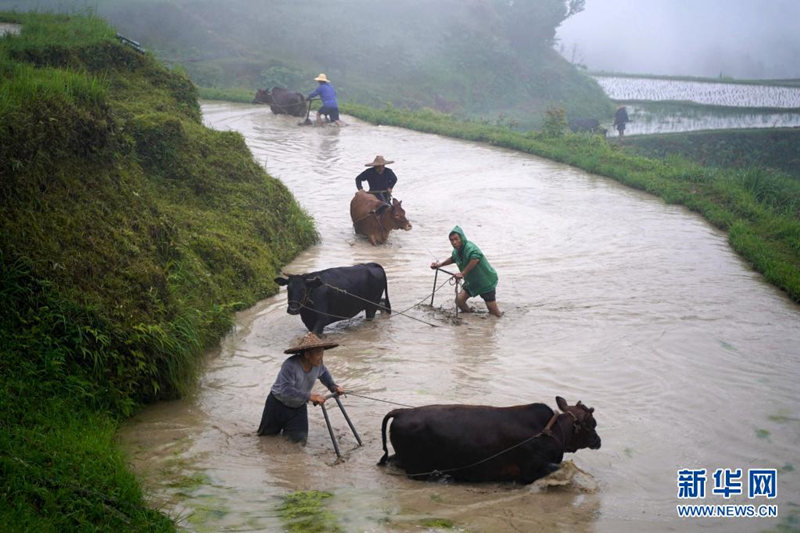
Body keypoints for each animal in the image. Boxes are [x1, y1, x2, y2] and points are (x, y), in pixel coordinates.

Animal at [380, 394, 600, 482]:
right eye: (592, 423)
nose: (598, 441)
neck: (553, 431)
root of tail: (401, 412)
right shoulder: (532, 470)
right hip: (417, 468)